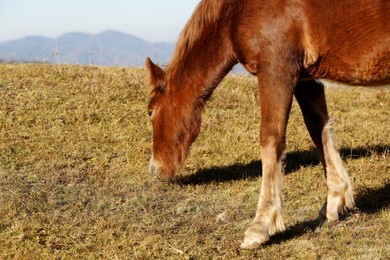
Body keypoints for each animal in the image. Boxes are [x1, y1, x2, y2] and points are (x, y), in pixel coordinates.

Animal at [145, 0, 390, 249]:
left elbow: (271, 140)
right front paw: (335, 201)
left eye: (150, 111)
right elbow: (318, 127)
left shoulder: (276, 71)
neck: (235, 13)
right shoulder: (303, 77)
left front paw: (260, 227)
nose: (155, 169)